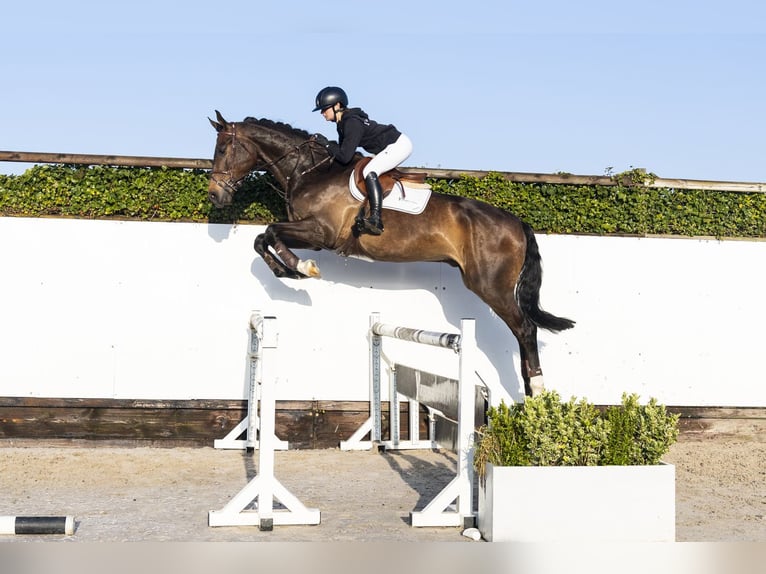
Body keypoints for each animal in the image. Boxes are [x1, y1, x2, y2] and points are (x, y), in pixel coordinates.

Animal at [207, 111, 574, 397]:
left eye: (223, 149)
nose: (214, 196)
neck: (310, 172)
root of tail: (517, 223)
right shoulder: (311, 233)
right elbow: (262, 238)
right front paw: (289, 270)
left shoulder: (320, 233)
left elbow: (269, 232)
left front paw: (303, 268)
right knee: (522, 329)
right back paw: (529, 390)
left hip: (490, 284)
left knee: (525, 328)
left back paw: (537, 390)